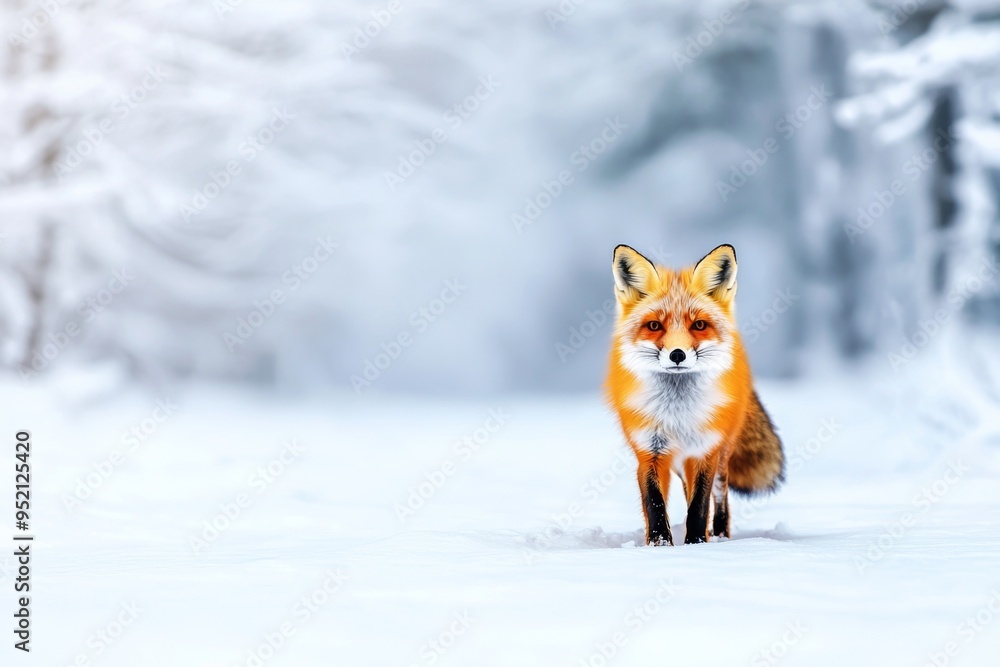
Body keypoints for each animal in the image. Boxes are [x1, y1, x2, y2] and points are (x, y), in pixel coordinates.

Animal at [605, 243, 784, 546]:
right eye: (654, 326)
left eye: (699, 325)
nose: (677, 355)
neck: (678, 413)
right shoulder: (649, 452)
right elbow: (654, 503)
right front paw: (659, 543)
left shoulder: (705, 451)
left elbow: (699, 505)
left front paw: (696, 544)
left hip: (721, 455)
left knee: (720, 497)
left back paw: (719, 535)